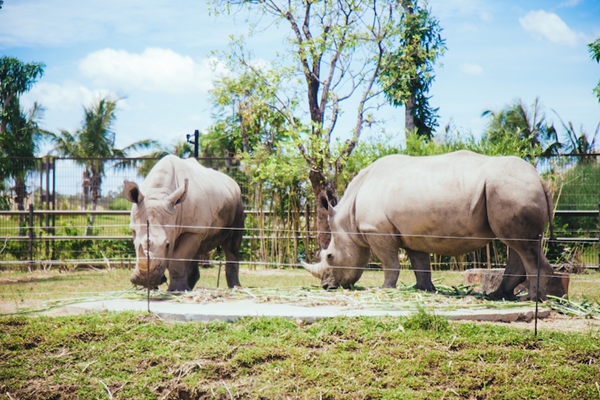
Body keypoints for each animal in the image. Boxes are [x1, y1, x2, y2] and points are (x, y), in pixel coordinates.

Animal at [123, 155, 245, 290]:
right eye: (134, 244)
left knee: (232, 244)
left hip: (237, 203)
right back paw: (189, 288)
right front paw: (147, 288)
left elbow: (178, 259)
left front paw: (176, 290)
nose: (145, 279)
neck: (158, 192)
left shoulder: (191, 230)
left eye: (167, 245)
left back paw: (236, 288)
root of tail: (232, 181)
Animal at [302, 150, 564, 300]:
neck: (348, 218)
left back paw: (530, 300)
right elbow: (420, 262)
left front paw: (385, 289)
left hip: (512, 189)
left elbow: (390, 263)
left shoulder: (377, 230)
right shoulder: (410, 232)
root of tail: (539, 177)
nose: (326, 286)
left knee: (521, 245)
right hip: (511, 189)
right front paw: (424, 289)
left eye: (330, 257)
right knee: (518, 244)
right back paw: (497, 296)